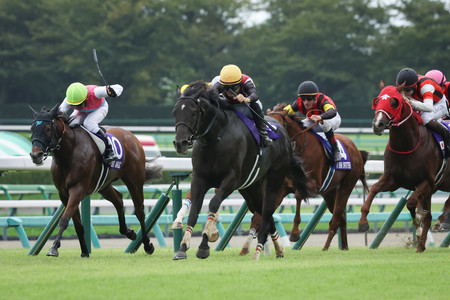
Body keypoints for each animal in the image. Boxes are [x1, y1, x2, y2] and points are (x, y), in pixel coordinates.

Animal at [29, 104, 162, 256]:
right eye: (32, 128)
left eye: (47, 128)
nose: (36, 155)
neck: (68, 153)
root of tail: (132, 136)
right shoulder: (64, 193)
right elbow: (77, 224)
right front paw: (84, 252)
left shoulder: (77, 189)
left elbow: (64, 219)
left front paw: (54, 248)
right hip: (104, 185)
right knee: (118, 199)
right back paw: (129, 232)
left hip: (134, 181)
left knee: (139, 211)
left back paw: (147, 245)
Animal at [172, 81, 310, 260]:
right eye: (175, 112)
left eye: (194, 112)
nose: (179, 143)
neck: (216, 138)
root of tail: (285, 135)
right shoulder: (199, 179)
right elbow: (194, 211)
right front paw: (182, 248)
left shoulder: (231, 180)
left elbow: (214, 203)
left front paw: (203, 246)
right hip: (251, 188)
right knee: (263, 212)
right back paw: (279, 248)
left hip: (273, 180)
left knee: (266, 211)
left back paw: (259, 251)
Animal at [268, 104, 370, 250]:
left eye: (277, 124)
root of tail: (356, 150)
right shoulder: (285, 186)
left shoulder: (313, 185)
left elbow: (299, 195)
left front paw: (295, 233)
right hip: (329, 192)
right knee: (342, 218)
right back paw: (344, 247)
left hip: (346, 186)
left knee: (335, 220)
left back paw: (326, 248)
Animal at [358, 85, 450, 252]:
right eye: (378, 101)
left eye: (394, 102)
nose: (378, 124)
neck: (408, 144)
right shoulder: (392, 180)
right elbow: (373, 189)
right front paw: (363, 223)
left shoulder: (427, 182)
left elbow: (411, 203)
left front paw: (418, 222)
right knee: (432, 215)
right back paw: (422, 244)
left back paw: (440, 222)